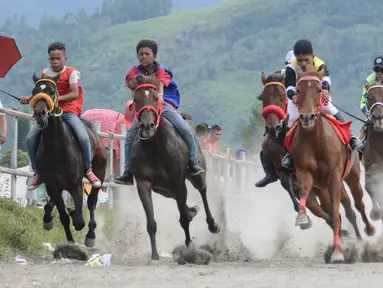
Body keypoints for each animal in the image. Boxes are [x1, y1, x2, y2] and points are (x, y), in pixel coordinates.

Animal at [29, 74, 108, 248]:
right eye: (34, 92)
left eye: (52, 91)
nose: (40, 113)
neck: (57, 148)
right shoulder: (52, 184)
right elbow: (64, 216)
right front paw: (70, 241)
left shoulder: (76, 184)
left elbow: (79, 220)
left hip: (100, 171)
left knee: (91, 202)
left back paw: (91, 235)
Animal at [127, 74, 220, 260]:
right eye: (136, 99)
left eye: (156, 98)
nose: (147, 127)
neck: (156, 148)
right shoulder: (144, 184)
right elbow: (151, 222)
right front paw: (154, 255)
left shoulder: (178, 182)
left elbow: (183, 218)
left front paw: (190, 247)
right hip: (163, 189)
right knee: (181, 203)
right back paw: (192, 210)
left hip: (195, 175)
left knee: (202, 191)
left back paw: (212, 224)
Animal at [294, 72, 376, 264]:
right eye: (299, 90)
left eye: (319, 90)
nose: (307, 118)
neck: (316, 142)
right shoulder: (304, 173)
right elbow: (304, 194)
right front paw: (301, 216)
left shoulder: (335, 176)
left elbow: (337, 213)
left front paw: (338, 253)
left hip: (352, 176)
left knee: (358, 204)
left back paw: (368, 231)